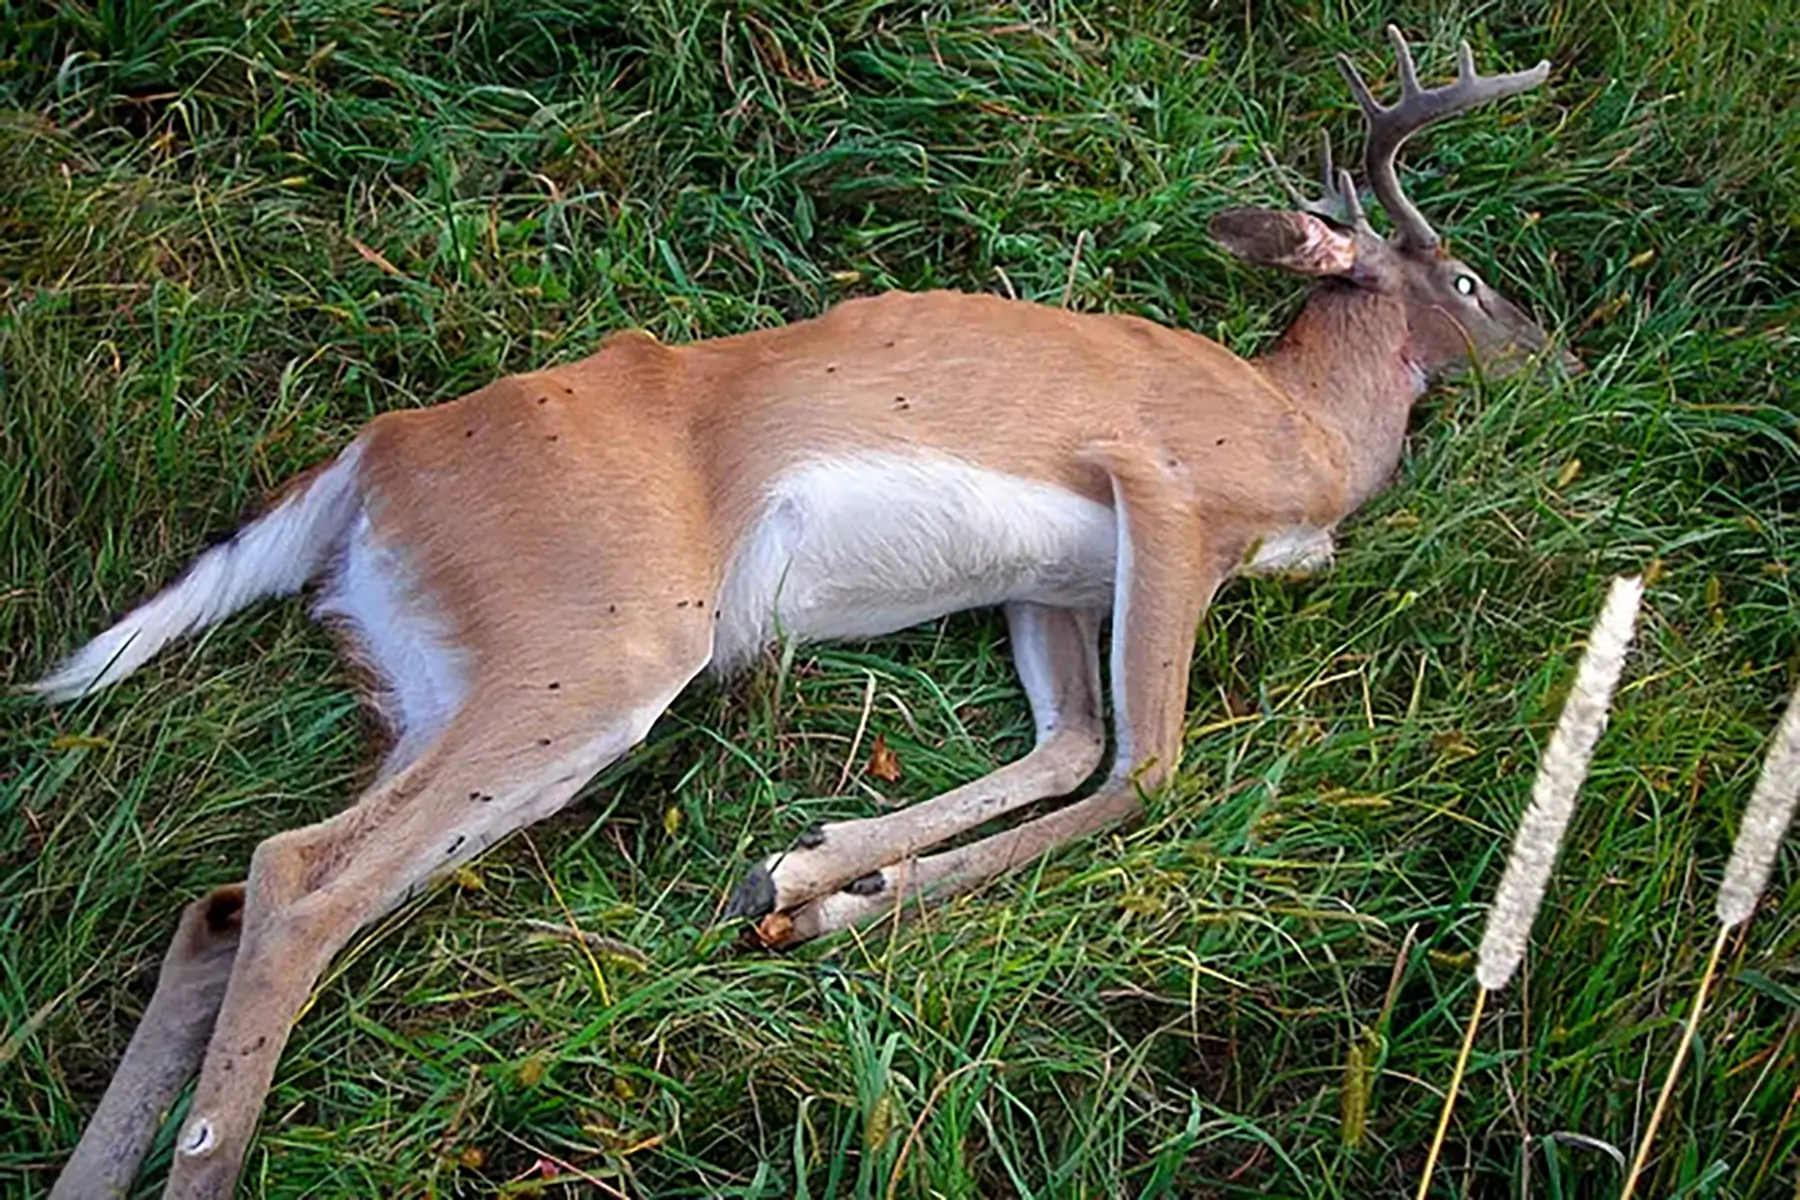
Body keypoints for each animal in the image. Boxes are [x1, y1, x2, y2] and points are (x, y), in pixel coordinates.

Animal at [29, 27, 1565, 1199]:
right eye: (1470, 277)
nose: (1554, 354)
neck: (1309, 431)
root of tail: (374, 453)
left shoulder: (1051, 583)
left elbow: (1063, 746)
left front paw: (810, 877)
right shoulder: (1163, 489)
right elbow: (1145, 768)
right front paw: (831, 904)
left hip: (437, 678)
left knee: (229, 899)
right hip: (601, 647)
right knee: (298, 876)